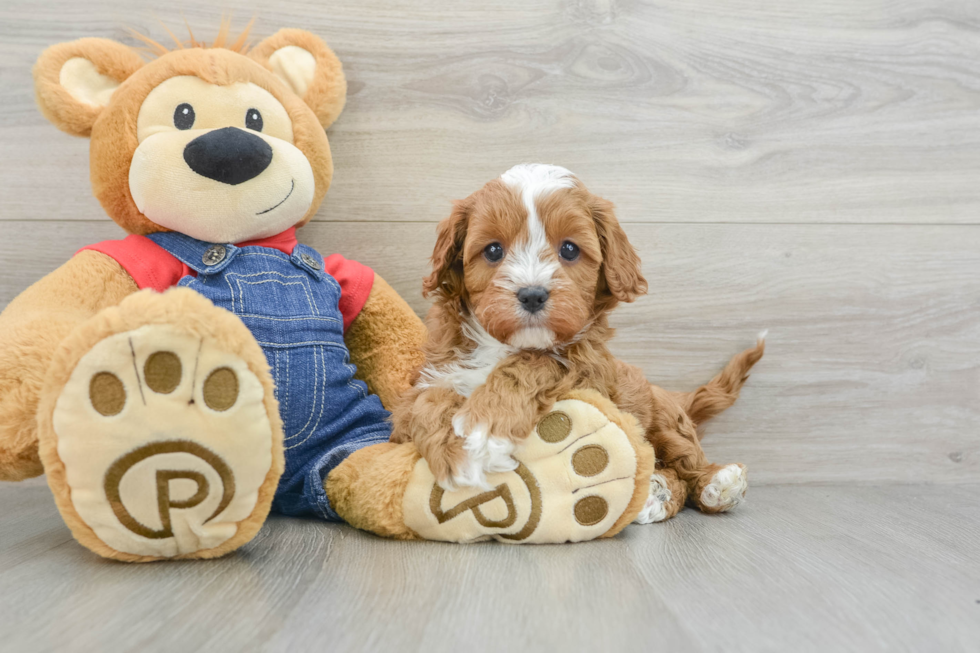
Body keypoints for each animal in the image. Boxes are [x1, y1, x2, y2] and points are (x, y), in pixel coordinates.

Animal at [392, 164, 764, 524]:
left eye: (569, 249)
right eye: (494, 250)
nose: (532, 294)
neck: (505, 346)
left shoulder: (587, 375)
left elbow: (535, 363)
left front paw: (483, 429)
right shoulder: (425, 386)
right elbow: (428, 400)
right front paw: (458, 450)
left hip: (662, 418)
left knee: (687, 465)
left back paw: (717, 485)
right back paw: (654, 494)